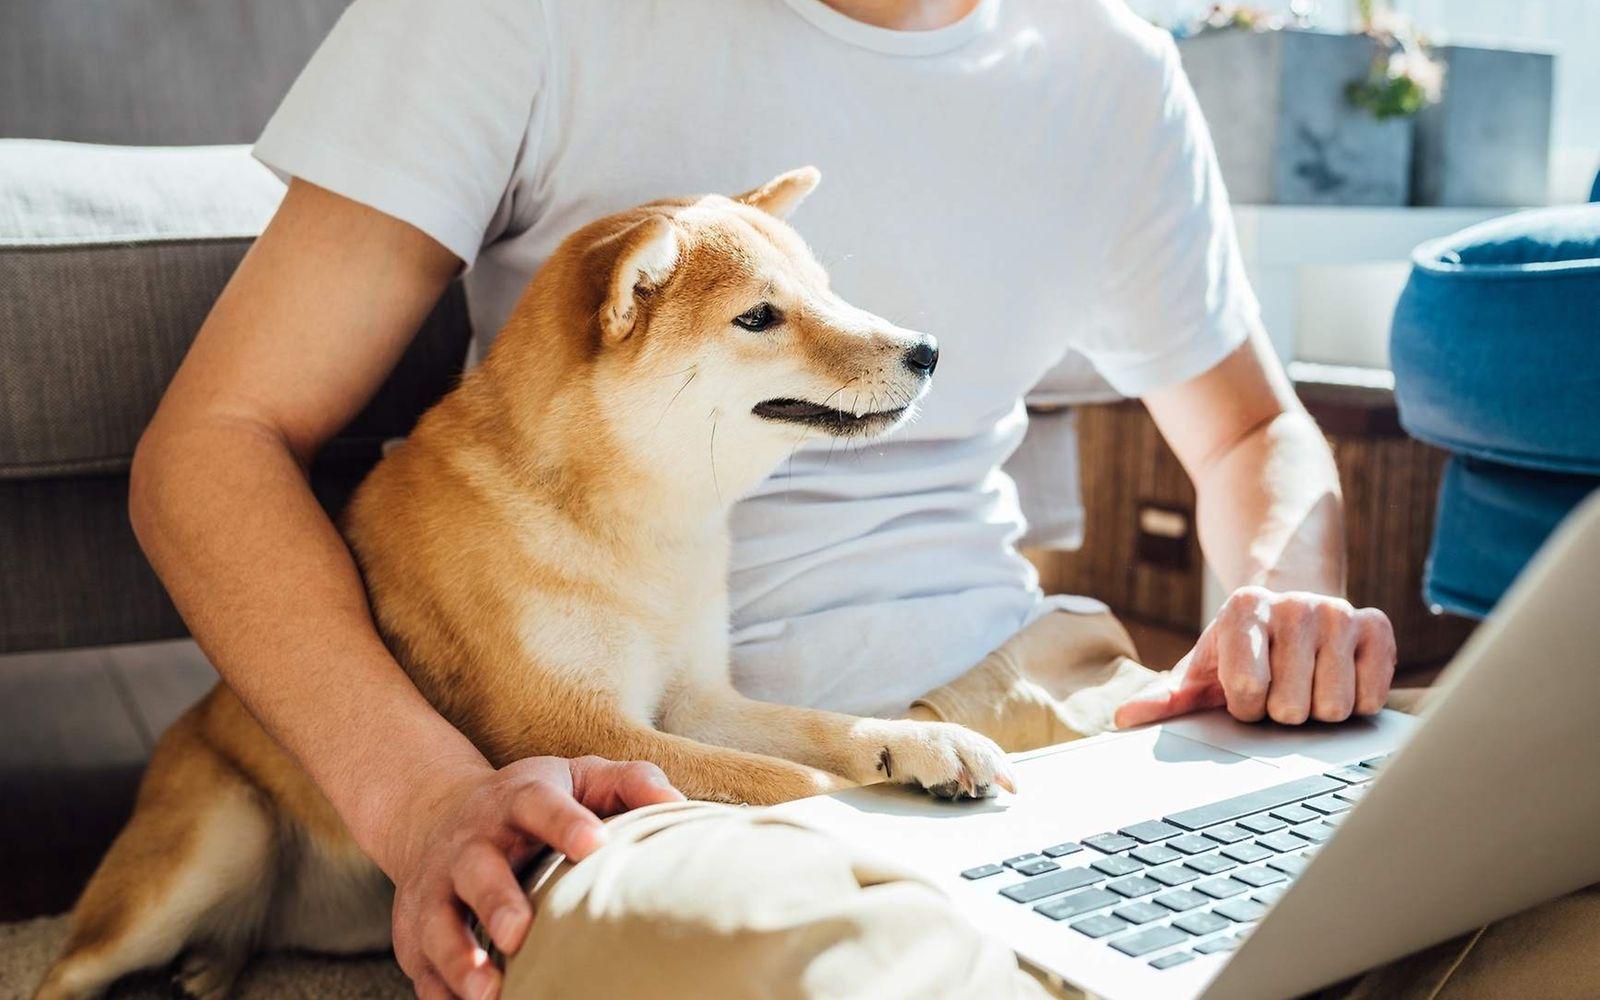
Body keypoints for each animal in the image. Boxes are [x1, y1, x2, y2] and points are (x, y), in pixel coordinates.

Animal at [37, 171, 1011, 998]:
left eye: (826, 289)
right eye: (761, 316)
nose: (927, 350)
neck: (640, 536)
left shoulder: (694, 699)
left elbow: (817, 730)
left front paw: (921, 743)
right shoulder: (573, 729)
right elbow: (786, 781)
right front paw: (859, 816)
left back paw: (211, 967)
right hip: (207, 848)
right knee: (66, 971)